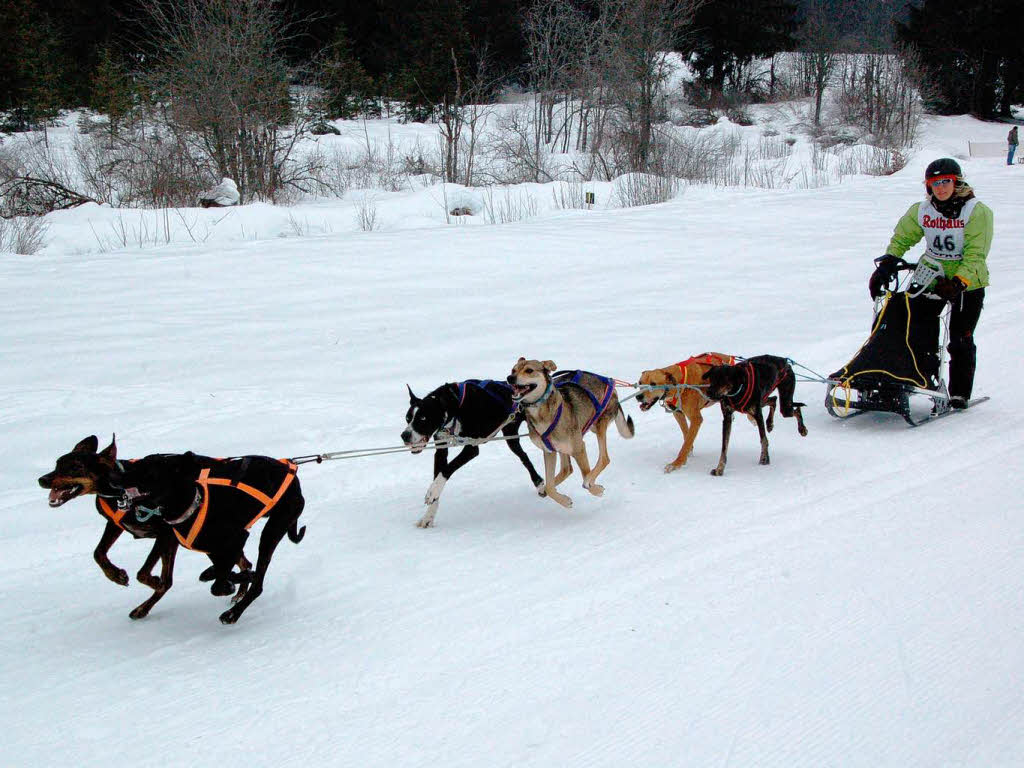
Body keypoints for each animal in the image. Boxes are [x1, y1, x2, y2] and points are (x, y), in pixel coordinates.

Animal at [112, 450, 305, 626]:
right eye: (138, 463)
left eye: (148, 471)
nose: (114, 476)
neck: (194, 504)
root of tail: (292, 471)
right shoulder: (214, 548)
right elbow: (225, 573)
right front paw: (227, 577)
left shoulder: (238, 537)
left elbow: (221, 584)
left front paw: (233, 582)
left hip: (272, 531)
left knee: (257, 584)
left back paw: (232, 614)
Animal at [401, 378, 548, 528]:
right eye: (407, 418)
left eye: (423, 418)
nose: (404, 435)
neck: (455, 406)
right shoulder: (441, 450)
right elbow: (439, 474)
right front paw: (428, 516)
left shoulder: (471, 448)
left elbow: (447, 469)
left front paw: (432, 492)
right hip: (510, 436)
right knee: (524, 456)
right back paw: (539, 483)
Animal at [503, 360, 630, 512]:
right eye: (513, 370)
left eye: (529, 370)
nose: (510, 378)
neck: (542, 414)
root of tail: (608, 381)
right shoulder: (549, 451)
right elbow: (550, 486)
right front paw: (563, 500)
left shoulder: (579, 448)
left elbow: (585, 473)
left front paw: (594, 488)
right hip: (567, 444)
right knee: (567, 469)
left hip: (599, 425)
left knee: (604, 459)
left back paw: (591, 481)